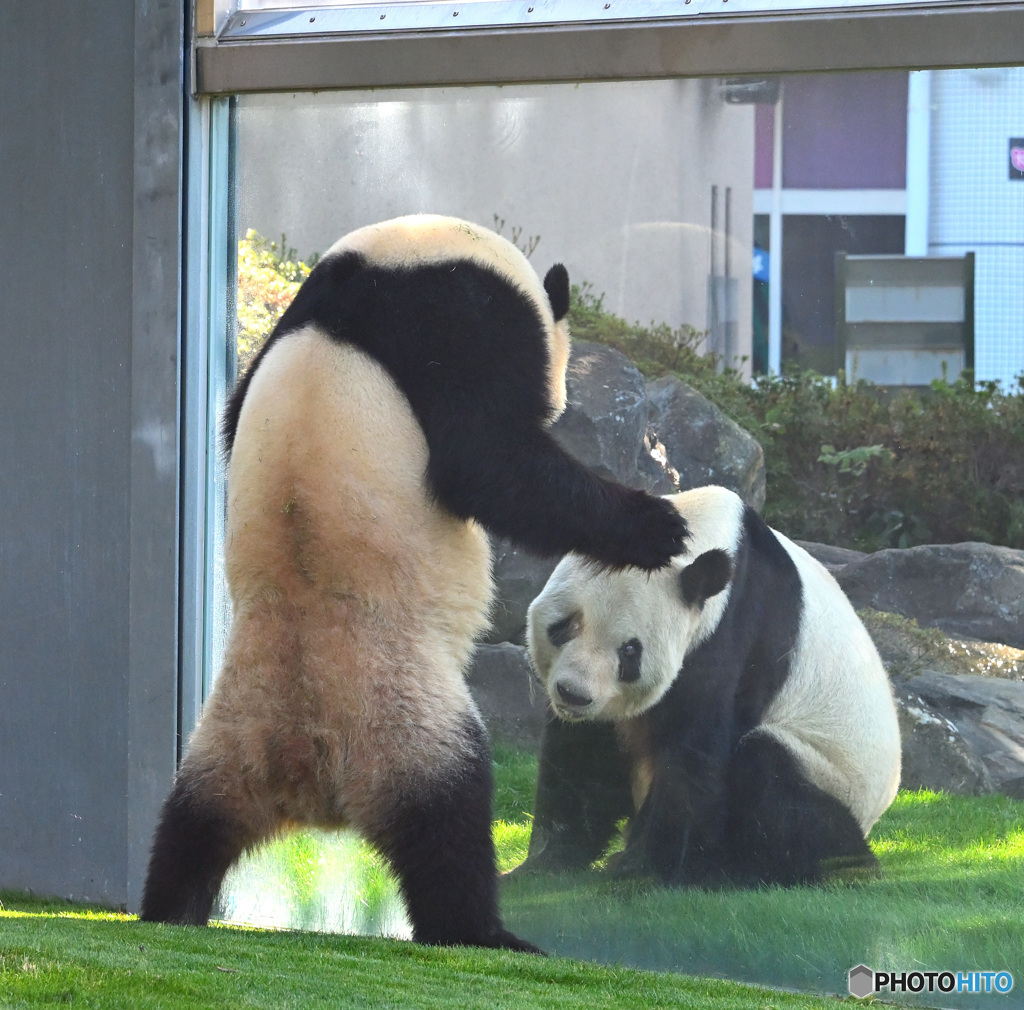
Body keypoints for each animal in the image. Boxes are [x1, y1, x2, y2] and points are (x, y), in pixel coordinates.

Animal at [142, 214, 688, 954]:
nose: (566, 396)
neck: (398, 259)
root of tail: (307, 777)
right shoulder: (459, 318)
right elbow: (492, 460)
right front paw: (656, 528)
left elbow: (230, 420)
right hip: (401, 709)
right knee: (447, 817)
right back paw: (482, 931)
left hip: (230, 731)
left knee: (191, 822)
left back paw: (170, 906)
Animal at [524, 483, 901, 885]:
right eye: (565, 625)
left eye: (629, 651)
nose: (574, 695)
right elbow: (582, 755)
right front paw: (545, 861)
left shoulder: (735, 628)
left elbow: (693, 750)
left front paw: (642, 869)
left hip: (833, 773)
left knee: (773, 776)